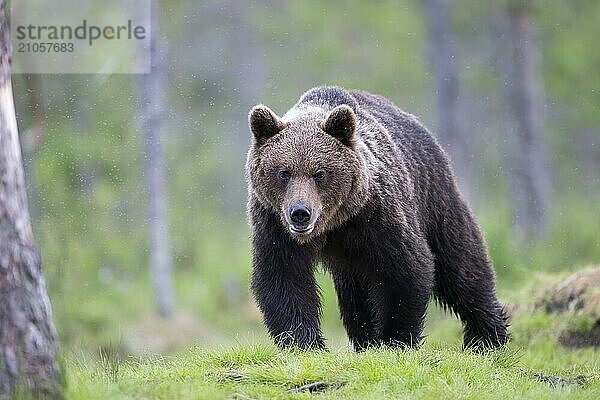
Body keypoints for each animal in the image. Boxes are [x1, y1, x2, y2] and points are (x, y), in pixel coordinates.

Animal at [246, 86, 508, 350]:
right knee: (356, 298)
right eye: (284, 173)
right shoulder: (274, 224)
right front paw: (304, 342)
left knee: (461, 265)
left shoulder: (377, 216)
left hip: (434, 198)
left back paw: (487, 337)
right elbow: (283, 278)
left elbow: (406, 269)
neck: (334, 223)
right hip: (351, 260)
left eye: (320, 173)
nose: (300, 213)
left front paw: (394, 340)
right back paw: (365, 340)